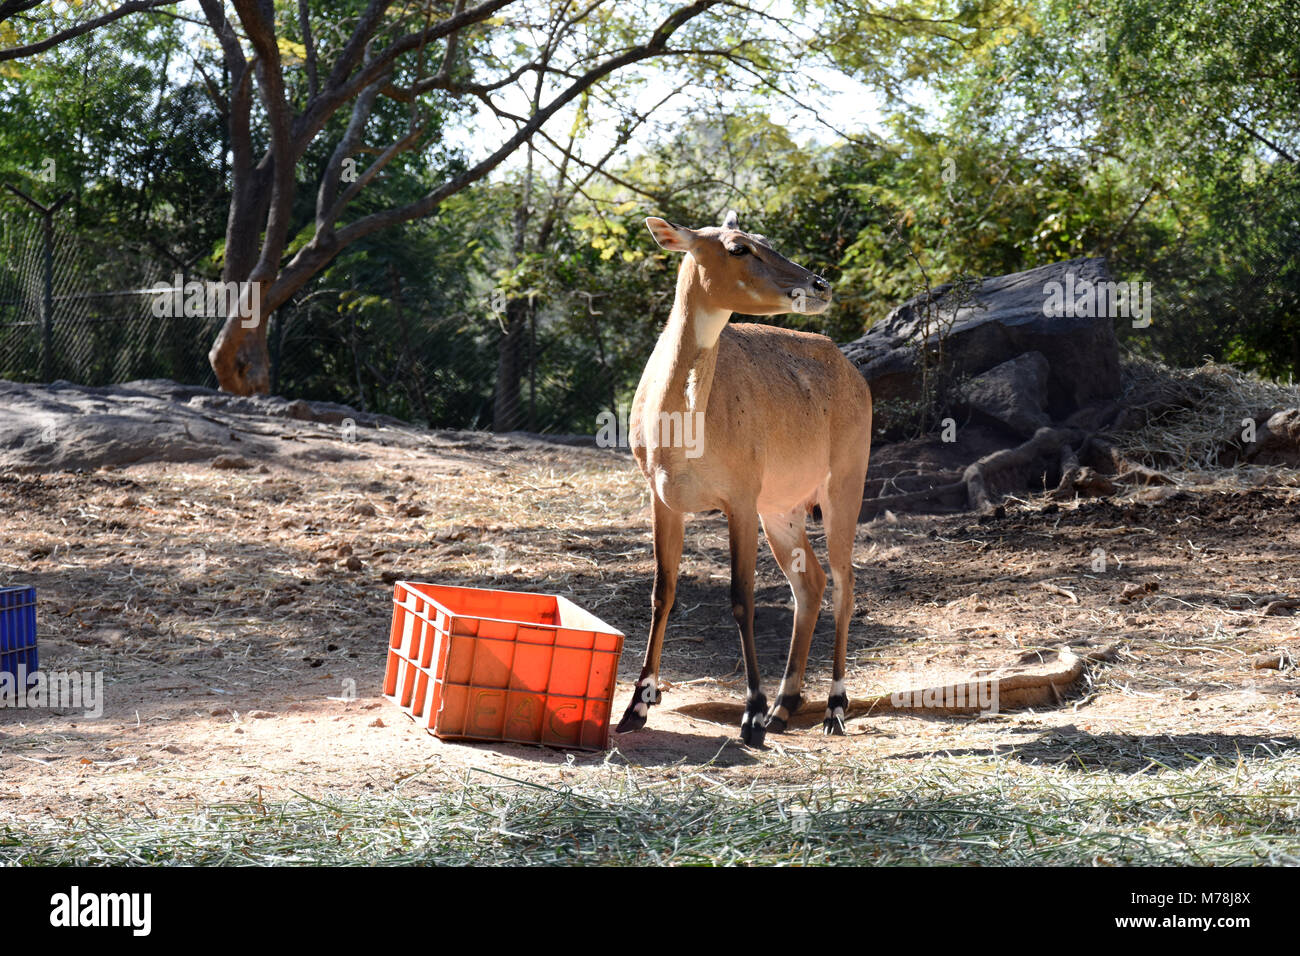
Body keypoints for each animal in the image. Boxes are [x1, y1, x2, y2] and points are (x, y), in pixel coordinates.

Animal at [616, 210, 873, 749]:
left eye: (766, 239)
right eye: (738, 247)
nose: (819, 285)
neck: (681, 421)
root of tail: (848, 367)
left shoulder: (739, 500)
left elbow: (741, 597)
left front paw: (751, 714)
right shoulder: (663, 499)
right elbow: (662, 592)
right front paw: (635, 708)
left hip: (843, 487)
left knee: (844, 580)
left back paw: (832, 707)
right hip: (782, 511)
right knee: (811, 582)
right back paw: (785, 704)